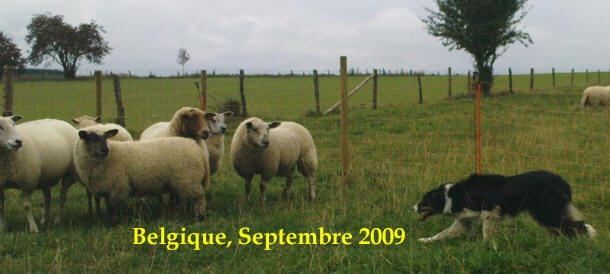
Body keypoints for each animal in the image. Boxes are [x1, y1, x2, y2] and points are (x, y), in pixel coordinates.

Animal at [414, 171, 592, 242]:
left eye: (423, 201)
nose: (413, 207)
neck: (454, 195)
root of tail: (564, 183)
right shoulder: (464, 220)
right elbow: (442, 234)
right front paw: (424, 240)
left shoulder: (489, 211)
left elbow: (486, 231)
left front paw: (488, 246)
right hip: (543, 214)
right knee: (564, 229)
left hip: (548, 213)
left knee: (579, 226)